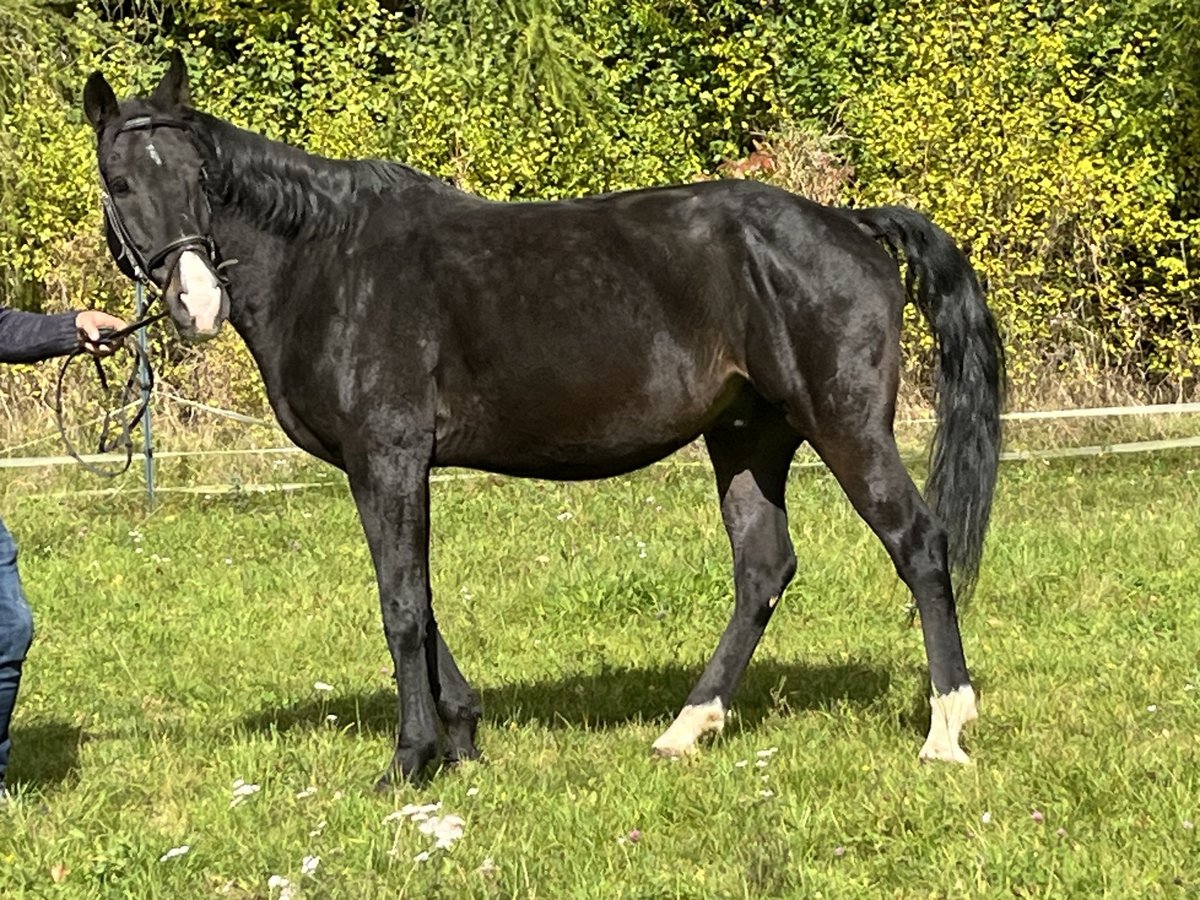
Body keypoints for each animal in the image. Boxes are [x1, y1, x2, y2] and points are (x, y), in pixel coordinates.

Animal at [83, 53, 1004, 786]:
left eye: (200, 182)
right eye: (123, 184)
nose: (197, 303)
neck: (331, 260)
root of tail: (850, 223)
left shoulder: (388, 456)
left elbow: (402, 604)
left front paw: (411, 758)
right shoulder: (385, 468)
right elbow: (420, 597)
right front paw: (461, 738)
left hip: (843, 426)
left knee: (919, 546)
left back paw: (946, 730)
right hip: (749, 438)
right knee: (763, 569)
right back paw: (686, 729)